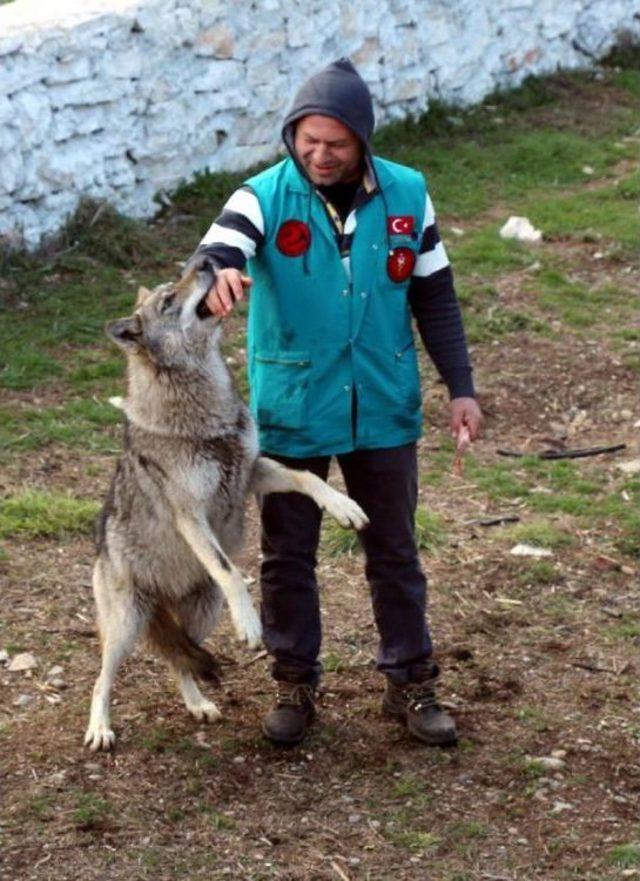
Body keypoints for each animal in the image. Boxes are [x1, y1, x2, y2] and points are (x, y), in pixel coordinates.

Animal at [84, 266, 370, 748]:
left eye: (177, 281)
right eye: (167, 301)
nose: (206, 265)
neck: (203, 410)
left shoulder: (253, 473)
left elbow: (308, 478)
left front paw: (344, 506)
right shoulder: (191, 515)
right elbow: (231, 570)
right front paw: (252, 625)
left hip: (202, 612)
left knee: (180, 658)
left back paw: (199, 704)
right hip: (125, 627)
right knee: (102, 677)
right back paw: (99, 728)